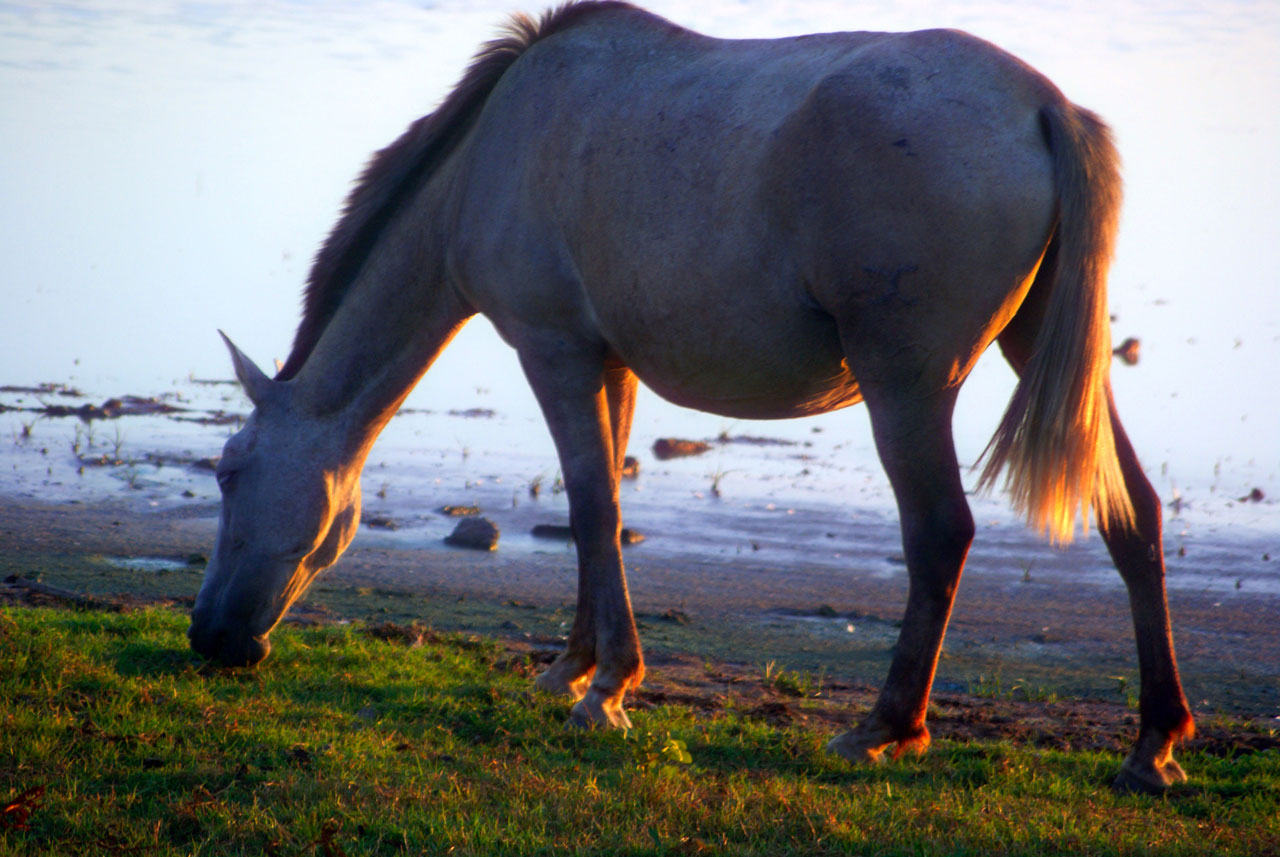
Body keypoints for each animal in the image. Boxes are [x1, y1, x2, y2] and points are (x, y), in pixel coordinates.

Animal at [185, 0, 1192, 798]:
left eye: (231, 472)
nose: (209, 636)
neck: (495, 152)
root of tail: (1043, 104)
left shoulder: (552, 348)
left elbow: (593, 507)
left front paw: (607, 690)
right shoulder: (610, 361)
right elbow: (600, 515)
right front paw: (574, 669)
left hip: (906, 384)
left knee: (941, 534)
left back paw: (882, 730)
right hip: (1037, 354)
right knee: (1132, 515)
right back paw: (1153, 745)